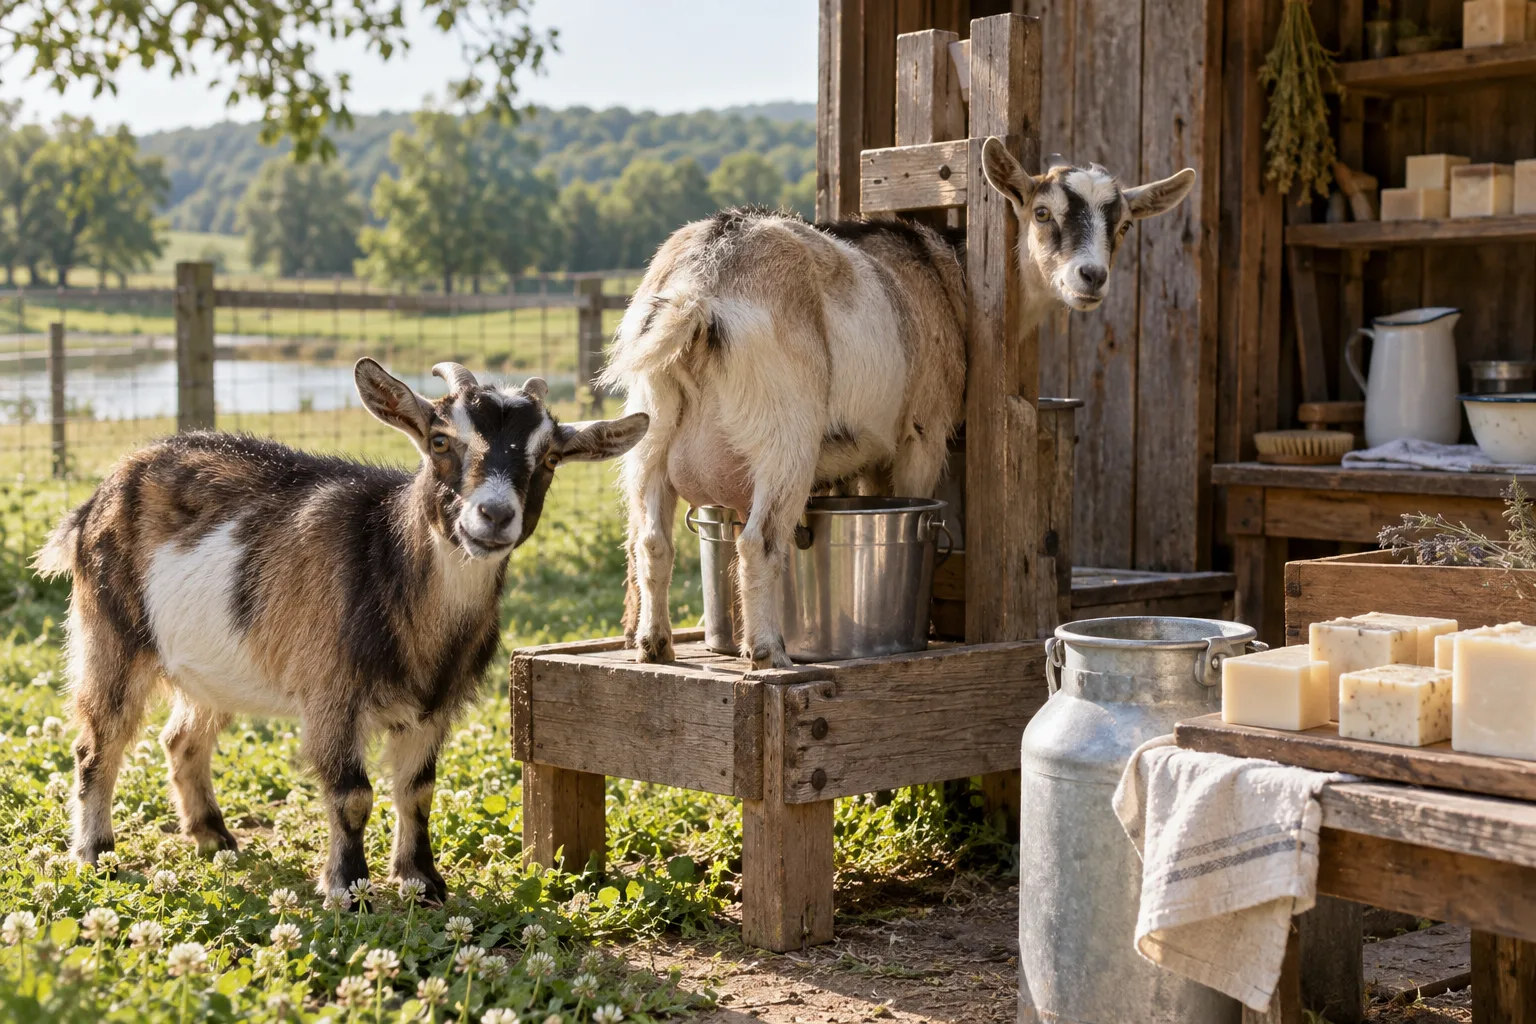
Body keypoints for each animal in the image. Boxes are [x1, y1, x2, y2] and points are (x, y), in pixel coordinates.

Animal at [35, 360, 648, 900]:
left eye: (550, 458)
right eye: (440, 441)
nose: (494, 516)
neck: (387, 564)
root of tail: (101, 494)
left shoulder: (435, 705)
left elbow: (418, 791)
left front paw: (423, 882)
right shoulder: (331, 693)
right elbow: (353, 795)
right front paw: (348, 889)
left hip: (213, 665)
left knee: (182, 739)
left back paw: (215, 838)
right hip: (109, 633)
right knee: (98, 744)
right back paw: (96, 853)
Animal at [603, 137, 1195, 669]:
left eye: (1123, 225)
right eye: (1042, 212)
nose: (1090, 277)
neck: (953, 276)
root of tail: (701, 285)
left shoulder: (866, 453)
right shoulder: (921, 433)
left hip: (650, 428)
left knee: (650, 540)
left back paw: (653, 645)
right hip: (783, 431)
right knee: (758, 542)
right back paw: (768, 652)